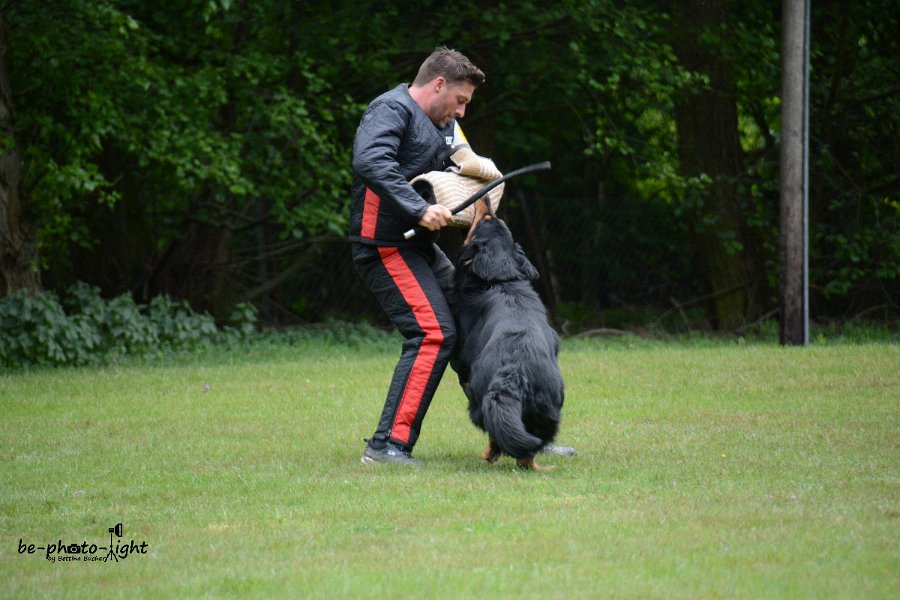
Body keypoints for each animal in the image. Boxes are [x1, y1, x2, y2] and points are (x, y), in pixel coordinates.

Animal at [454, 198, 565, 470]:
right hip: (549, 408)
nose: (485, 200)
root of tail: (513, 373)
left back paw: (490, 455)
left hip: (480, 397)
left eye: (488, 219)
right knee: (529, 450)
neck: (502, 279)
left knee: (498, 436)